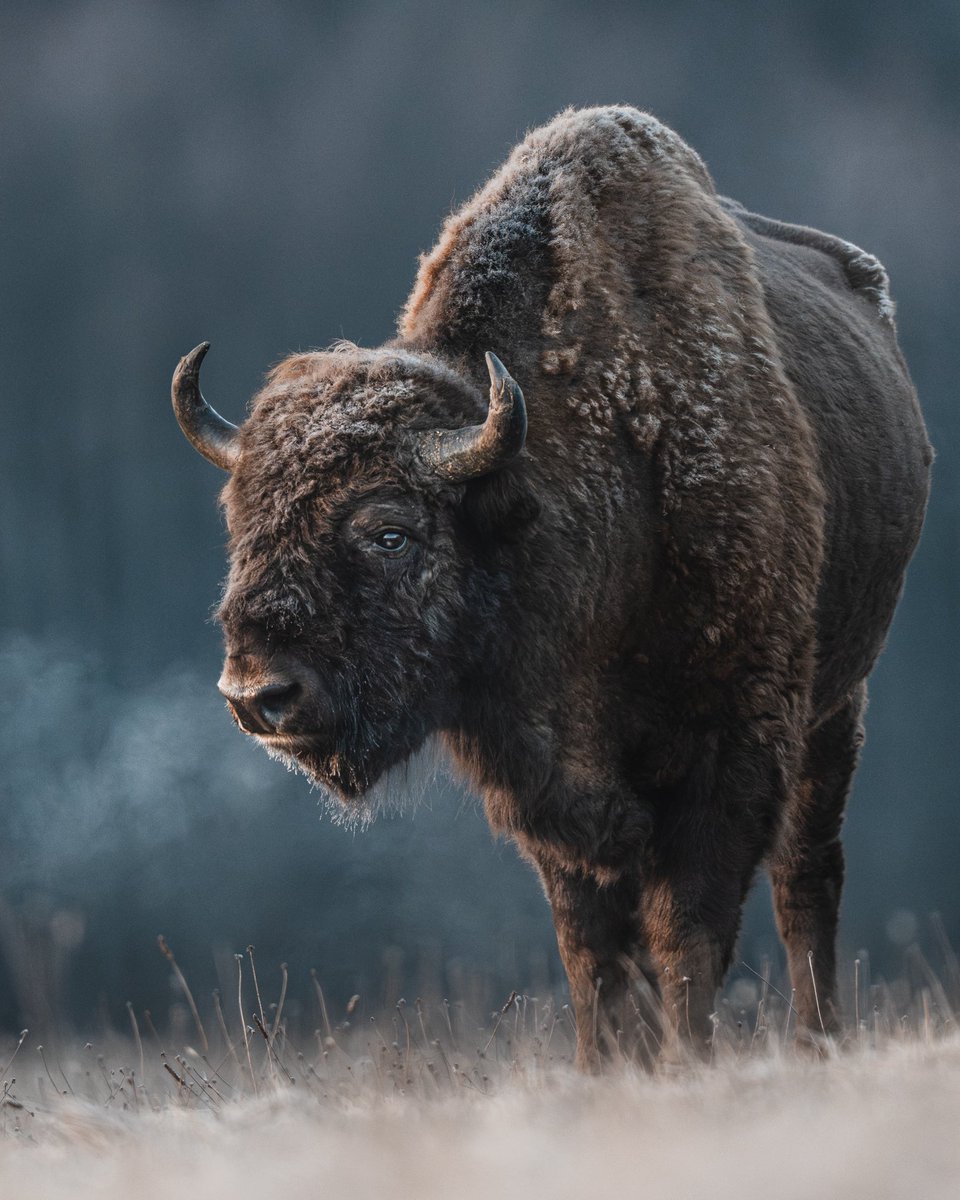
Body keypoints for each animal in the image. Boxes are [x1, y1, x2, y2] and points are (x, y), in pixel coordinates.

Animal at [171, 107, 931, 1068]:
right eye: (243, 524)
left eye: (391, 531)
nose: (258, 694)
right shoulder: (550, 796)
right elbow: (594, 952)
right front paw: (606, 1067)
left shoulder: (729, 752)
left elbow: (688, 934)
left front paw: (686, 1060)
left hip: (836, 708)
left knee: (808, 882)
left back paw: (818, 1040)